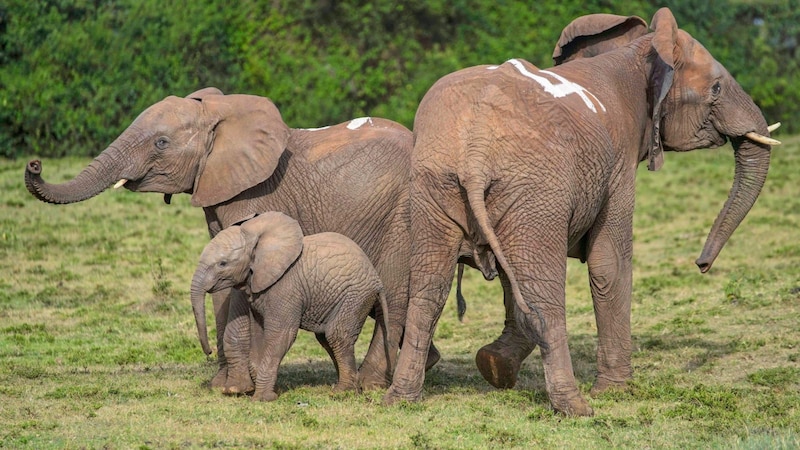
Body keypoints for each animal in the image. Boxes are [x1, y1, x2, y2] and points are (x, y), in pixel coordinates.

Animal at [188, 213, 388, 402]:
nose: (209, 352)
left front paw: (263, 399)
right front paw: (267, 391)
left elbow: (281, 335)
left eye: (223, 264)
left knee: (337, 335)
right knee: (325, 337)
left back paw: (342, 392)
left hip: (356, 296)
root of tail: (378, 280)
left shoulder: (286, 287)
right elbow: (258, 334)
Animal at [384, 7, 780, 414]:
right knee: (542, 295)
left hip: (436, 183)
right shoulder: (619, 162)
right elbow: (610, 262)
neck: (640, 54)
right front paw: (615, 392)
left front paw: (496, 366)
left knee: (430, 288)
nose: (701, 264)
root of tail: (476, 146)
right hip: (535, 189)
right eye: (716, 88)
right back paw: (575, 407)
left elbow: (513, 278)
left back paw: (400, 399)